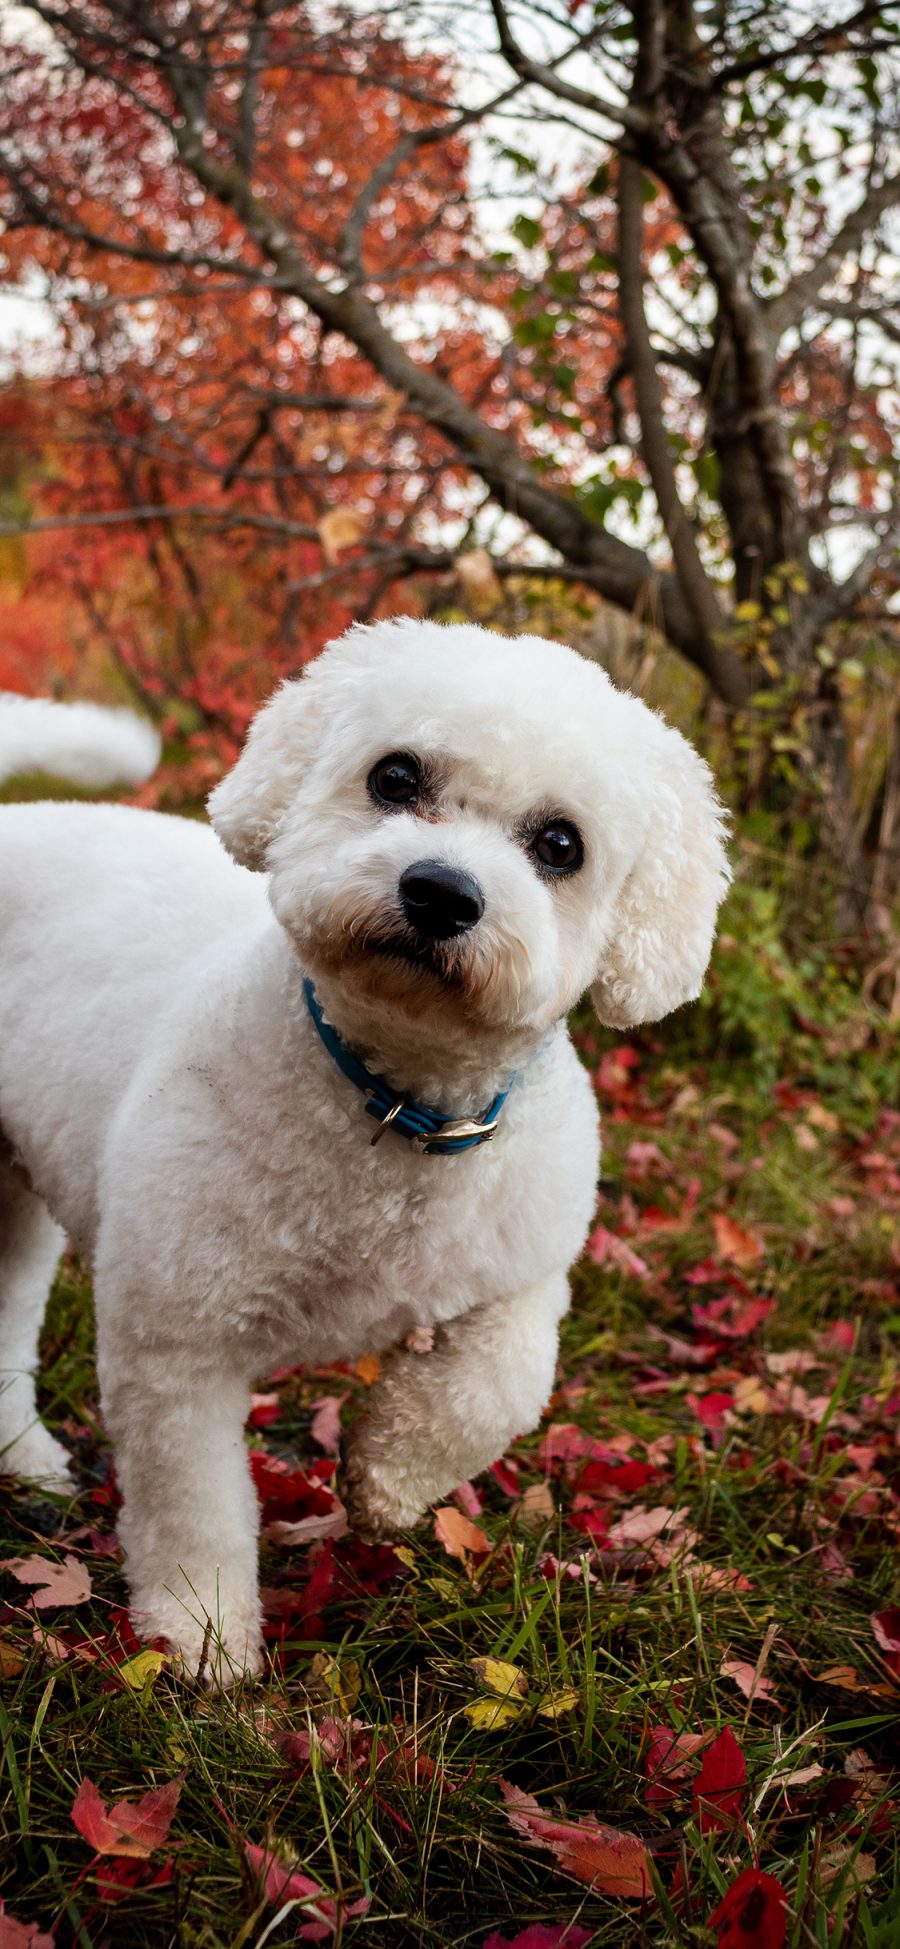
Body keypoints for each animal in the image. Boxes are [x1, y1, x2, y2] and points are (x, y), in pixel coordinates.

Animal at [0, 619, 732, 1676]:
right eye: (395, 776)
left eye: (560, 844)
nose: (441, 892)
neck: (392, 1109)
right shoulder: (176, 1344)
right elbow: (194, 1508)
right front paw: (202, 1637)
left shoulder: (524, 1271)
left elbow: (499, 1385)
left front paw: (386, 1475)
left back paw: (25, 1457)